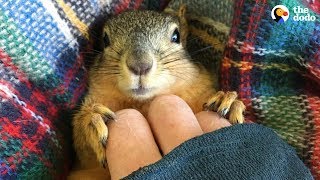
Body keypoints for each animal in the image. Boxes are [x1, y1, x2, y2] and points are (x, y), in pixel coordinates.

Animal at [72, 5, 245, 169]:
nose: (140, 65)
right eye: (105, 40)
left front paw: (227, 102)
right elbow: (84, 154)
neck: (145, 102)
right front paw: (93, 119)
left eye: (176, 36)